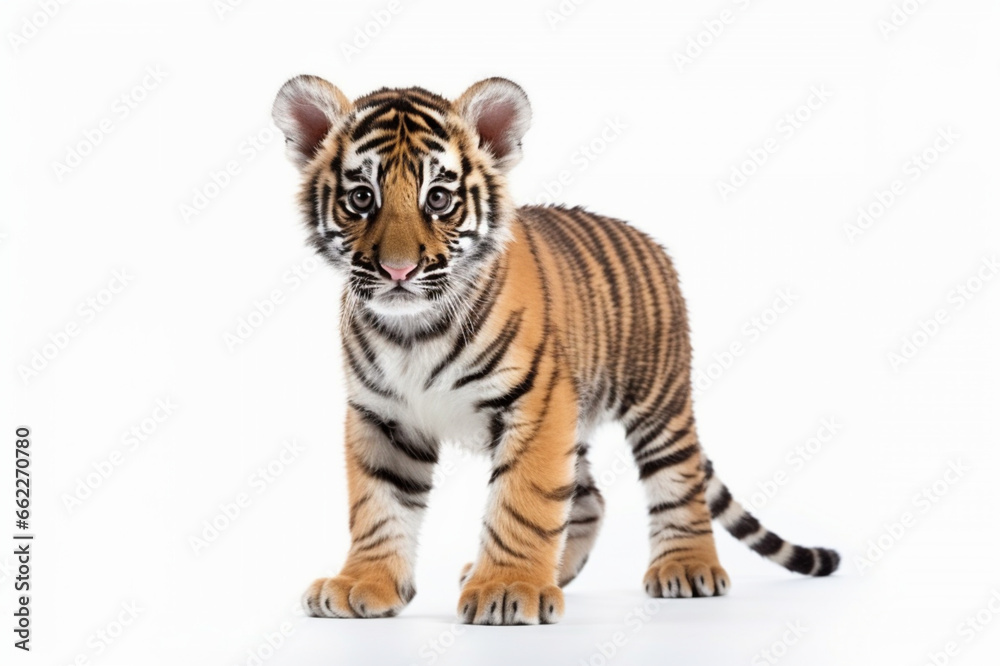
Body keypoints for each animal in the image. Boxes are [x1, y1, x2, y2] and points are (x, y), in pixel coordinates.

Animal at [271, 75, 839, 626]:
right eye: (361, 197)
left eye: (438, 199)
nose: (397, 270)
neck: (412, 331)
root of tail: (649, 240)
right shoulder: (382, 415)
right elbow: (378, 506)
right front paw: (362, 585)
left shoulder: (537, 402)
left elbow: (524, 500)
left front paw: (506, 590)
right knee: (588, 500)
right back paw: (553, 575)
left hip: (659, 401)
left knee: (678, 481)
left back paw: (686, 568)